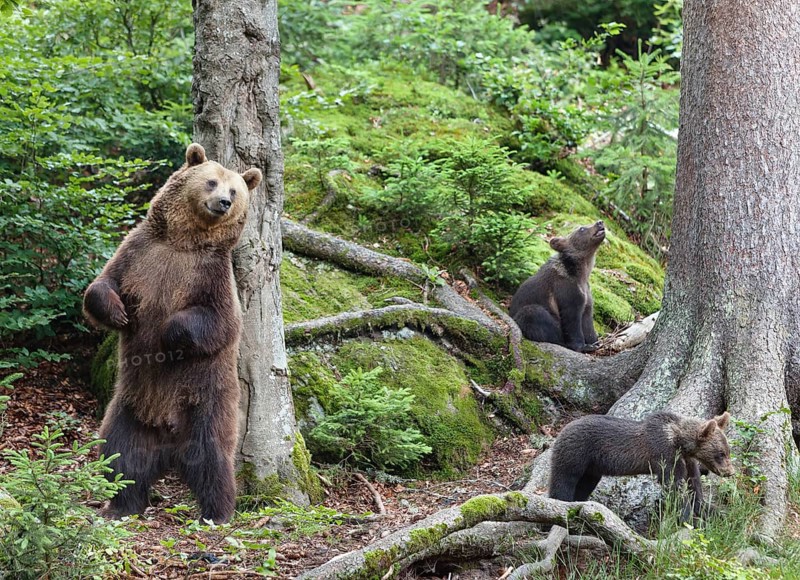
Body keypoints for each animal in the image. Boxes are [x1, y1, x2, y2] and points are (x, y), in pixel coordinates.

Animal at [83, 143, 262, 523]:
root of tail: (167, 444)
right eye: (212, 181)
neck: (183, 243)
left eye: (235, 190)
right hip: (127, 411)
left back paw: (216, 512)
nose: (223, 203)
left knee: (212, 461)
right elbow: (100, 286)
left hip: (204, 402)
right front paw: (119, 312)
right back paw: (120, 506)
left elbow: (219, 322)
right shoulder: (138, 254)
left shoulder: (210, 276)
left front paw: (169, 331)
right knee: (121, 457)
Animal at [509, 221, 605, 352]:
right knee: (532, 313)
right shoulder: (566, 290)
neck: (581, 273)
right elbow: (571, 320)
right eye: (582, 228)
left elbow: (587, 320)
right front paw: (583, 346)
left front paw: (595, 342)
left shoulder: (586, 294)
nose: (600, 222)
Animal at [548, 411, 734, 521]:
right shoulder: (664, 454)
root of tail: (561, 430)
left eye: (727, 451)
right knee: (564, 480)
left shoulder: (687, 460)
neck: (679, 441)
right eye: (720, 453)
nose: (730, 472)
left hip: (592, 468)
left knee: (584, 485)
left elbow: (693, 485)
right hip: (576, 453)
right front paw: (687, 518)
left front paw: (711, 511)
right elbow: (673, 484)